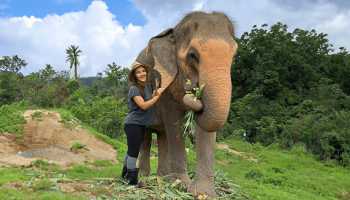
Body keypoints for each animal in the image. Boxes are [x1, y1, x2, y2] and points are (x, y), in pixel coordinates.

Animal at [134, 10, 238, 197]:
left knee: (162, 136)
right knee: (146, 136)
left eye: (234, 56)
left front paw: (203, 193)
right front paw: (181, 184)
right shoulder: (166, 86)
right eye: (192, 55)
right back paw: (145, 178)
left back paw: (162, 179)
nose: (195, 92)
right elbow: (175, 122)